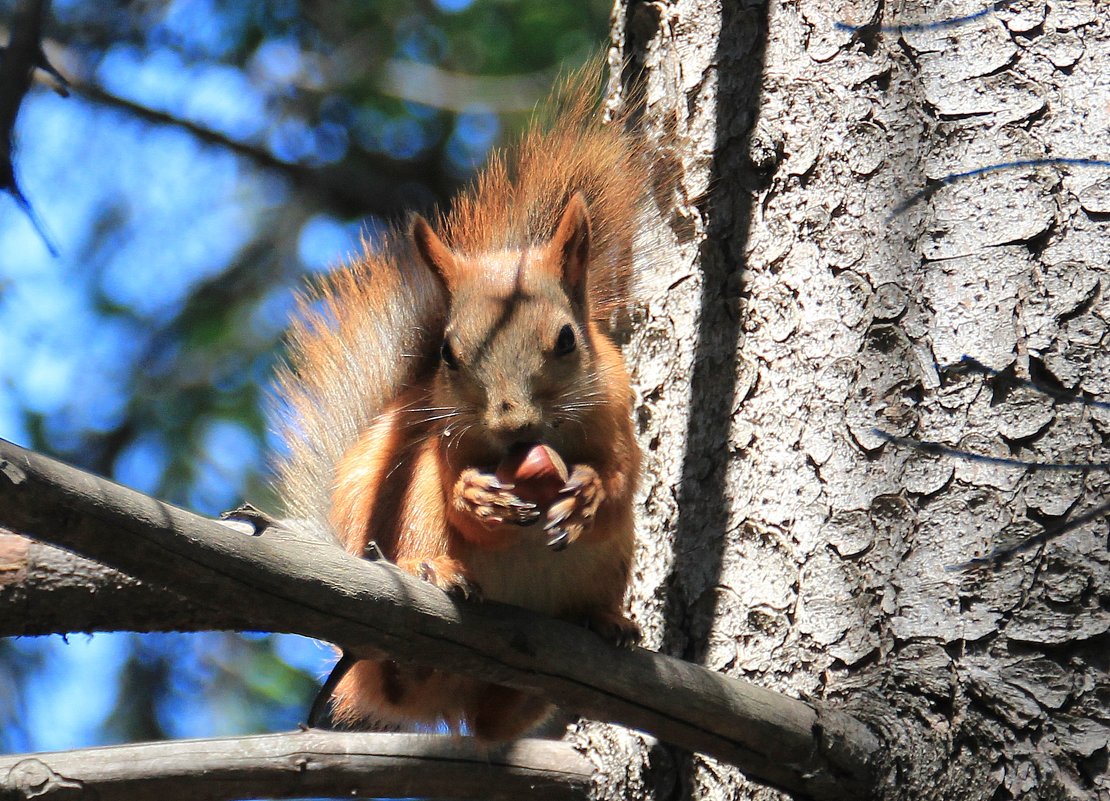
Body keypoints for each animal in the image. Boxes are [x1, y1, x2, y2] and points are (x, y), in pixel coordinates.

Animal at [275, 65, 648, 741]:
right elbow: (457, 489)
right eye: (448, 353)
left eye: (567, 339)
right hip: (409, 508)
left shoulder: (617, 415)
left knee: (497, 720)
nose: (513, 423)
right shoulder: (442, 442)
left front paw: (588, 493)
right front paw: (476, 498)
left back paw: (603, 623)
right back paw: (435, 579)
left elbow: (623, 481)